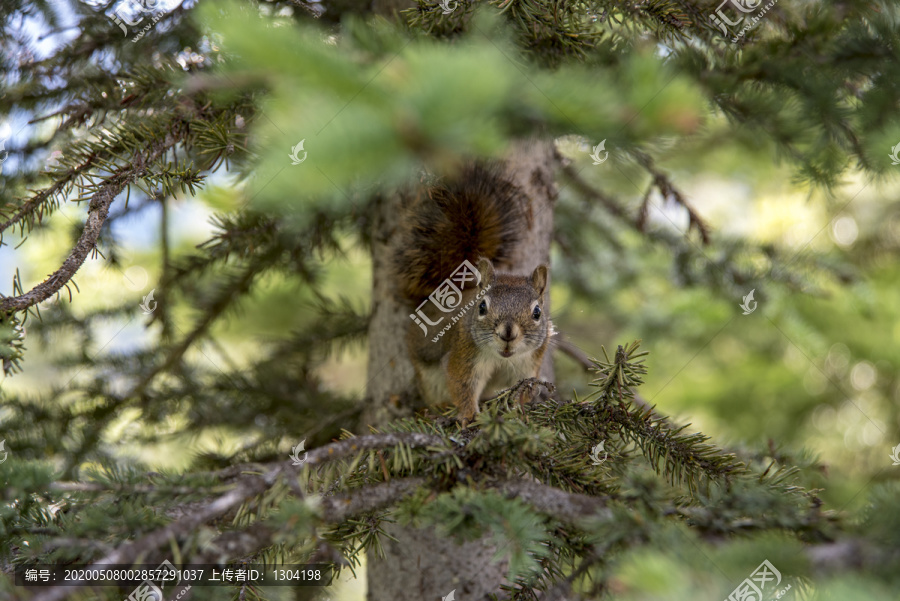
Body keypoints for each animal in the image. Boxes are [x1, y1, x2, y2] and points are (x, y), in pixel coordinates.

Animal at [396, 162, 552, 424]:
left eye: (537, 312)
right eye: (482, 307)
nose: (508, 333)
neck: (502, 358)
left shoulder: (528, 365)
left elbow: (521, 391)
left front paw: (518, 412)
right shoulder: (464, 355)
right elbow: (462, 385)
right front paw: (469, 416)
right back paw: (436, 409)